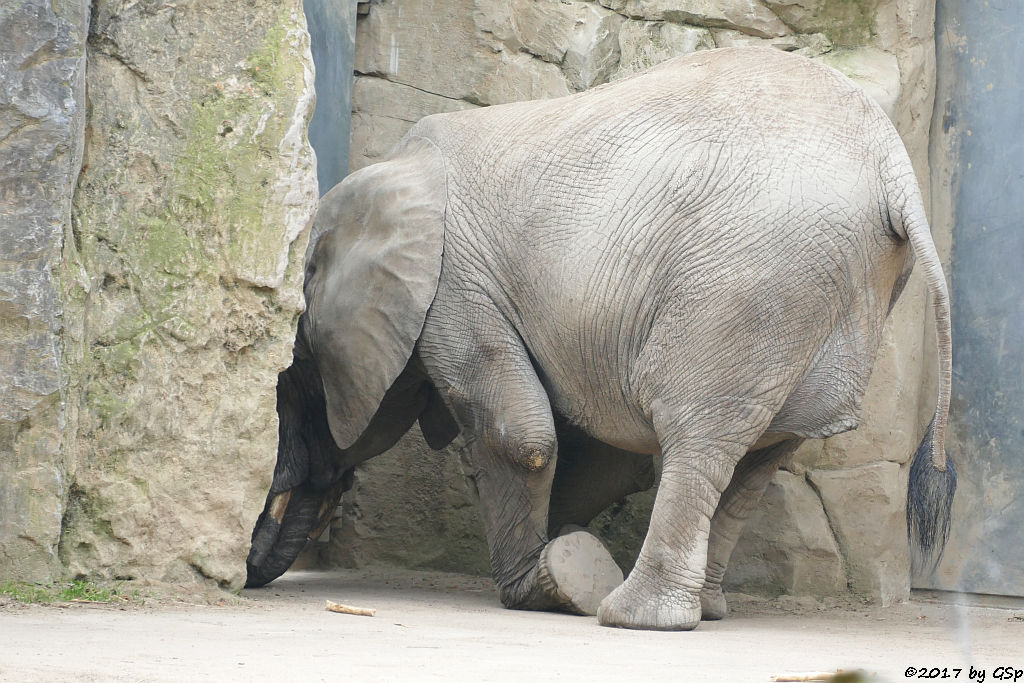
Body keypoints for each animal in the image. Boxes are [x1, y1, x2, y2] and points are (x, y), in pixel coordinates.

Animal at [243, 48, 954, 634]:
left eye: (294, 373)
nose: (252, 569)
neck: (387, 173)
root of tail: (894, 170)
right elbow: (592, 452)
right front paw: (560, 560)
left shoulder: (457, 286)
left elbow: (522, 436)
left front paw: (539, 585)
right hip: (827, 291)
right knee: (761, 455)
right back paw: (706, 608)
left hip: (749, 281)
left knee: (701, 435)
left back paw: (634, 616)